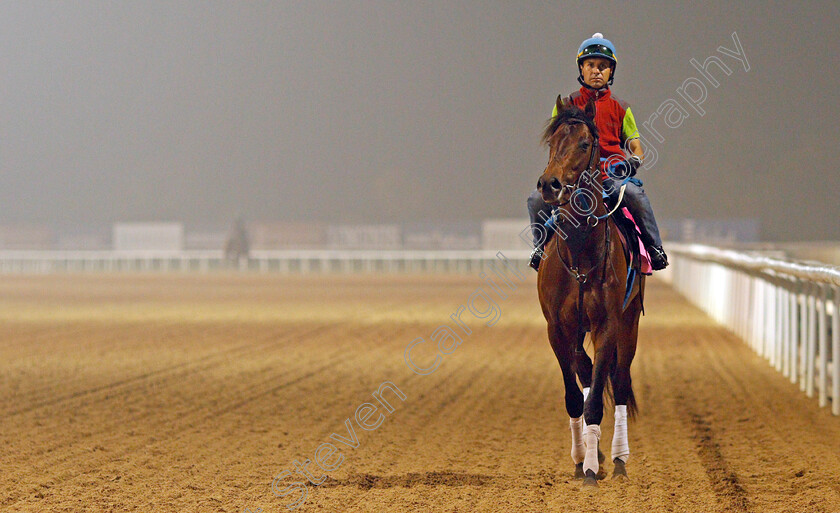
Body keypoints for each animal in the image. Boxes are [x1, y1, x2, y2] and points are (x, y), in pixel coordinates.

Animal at [536, 95, 648, 484]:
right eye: (552, 142)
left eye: (585, 144)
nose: (549, 184)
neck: (581, 254)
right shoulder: (557, 328)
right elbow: (575, 395)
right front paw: (581, 457)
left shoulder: (608, 325)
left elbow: (598, 397)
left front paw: (590, 469)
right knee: (585, 375)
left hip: (630, 325)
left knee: (622, 382)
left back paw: (617, 458)